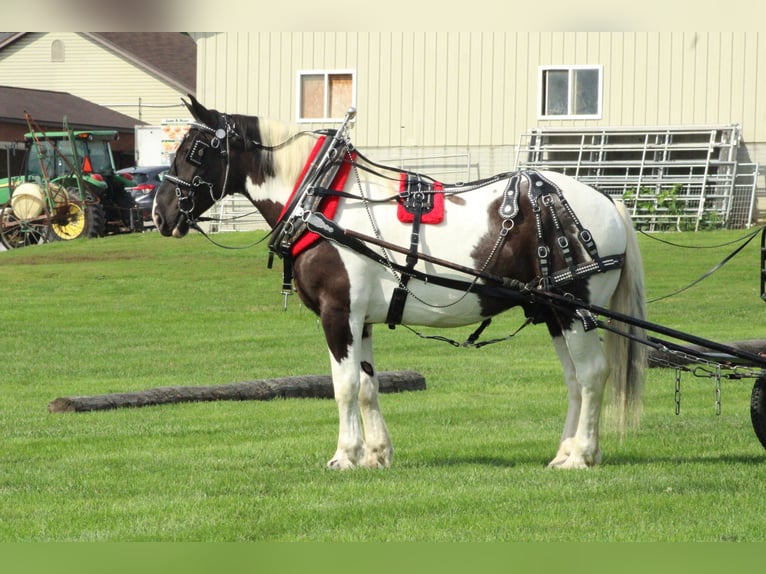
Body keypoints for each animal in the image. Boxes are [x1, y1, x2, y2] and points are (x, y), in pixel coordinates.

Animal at [152, 95, 647, 470]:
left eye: (194, 151)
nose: (159, 213)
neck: (323, 200)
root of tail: (607, 200)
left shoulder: (339, 313)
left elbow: (344, 385)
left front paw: (345, 455)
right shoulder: (363, 320)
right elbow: (369, 385)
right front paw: (376, 454)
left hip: (575, 309)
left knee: (592, 374)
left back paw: (582, 455)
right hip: (552, 311)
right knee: (574, 380)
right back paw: (565, 451)